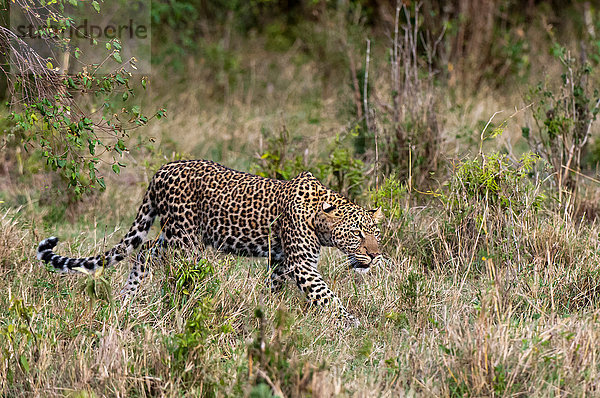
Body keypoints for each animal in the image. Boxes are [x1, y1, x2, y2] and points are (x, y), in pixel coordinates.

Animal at [36, 159, 384, 326]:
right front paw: (354, 325)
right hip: (185, 239)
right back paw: (182, 308)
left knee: (144, 252)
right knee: (171, 269)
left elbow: (275, 287)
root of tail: (162, 170)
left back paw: (126, 299)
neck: (320, 219)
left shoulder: (281, 259)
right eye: (356, 234)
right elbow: (329, 299)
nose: (375, 257)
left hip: (175, 236)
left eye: (376, 234)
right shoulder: (302, 264)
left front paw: (268, 311)